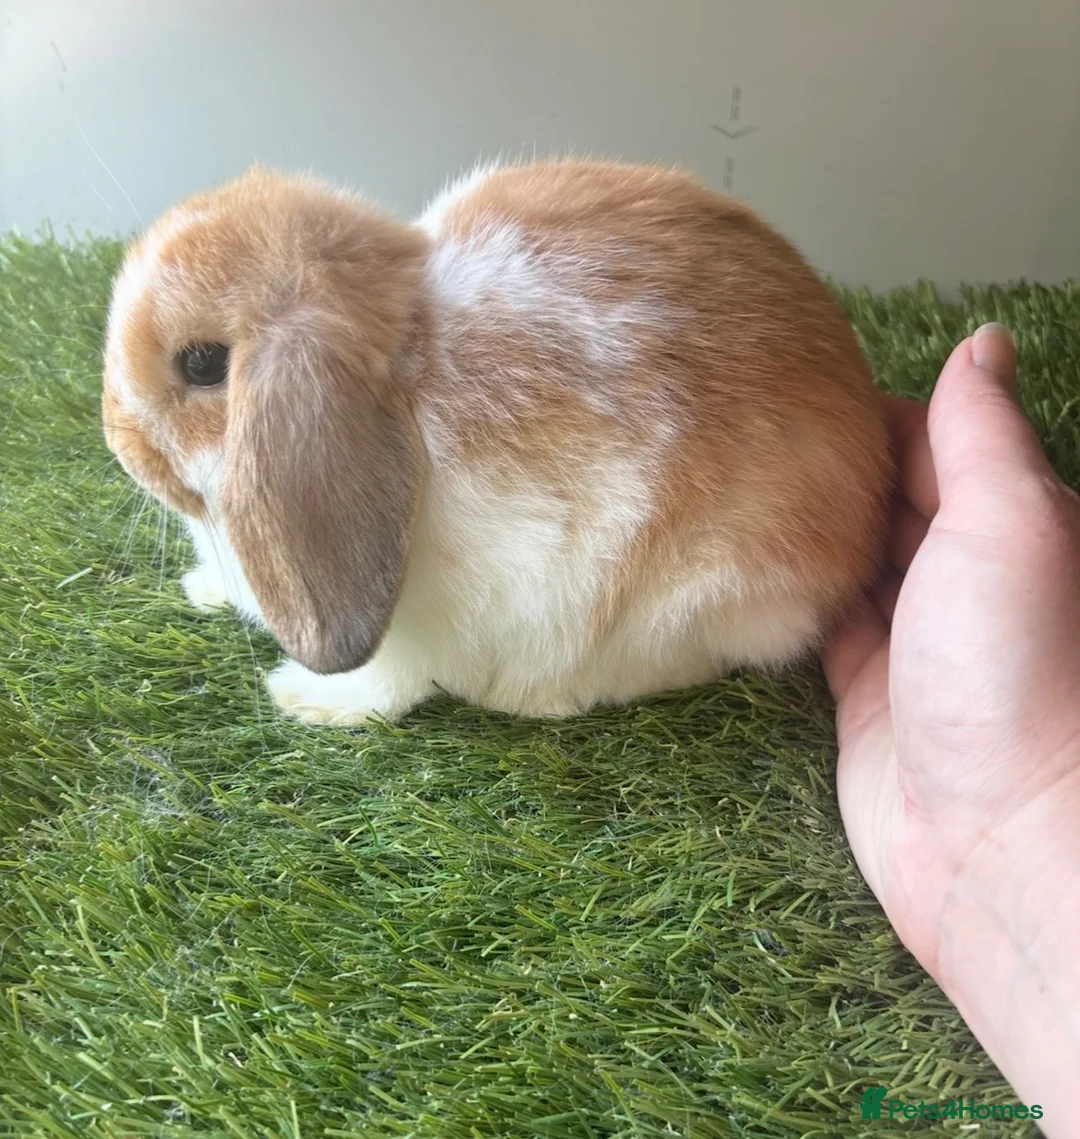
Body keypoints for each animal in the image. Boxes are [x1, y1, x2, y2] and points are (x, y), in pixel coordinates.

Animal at [101, 159, 892, 724]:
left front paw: (302, 698)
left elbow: (386, 686)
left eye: (203, 364)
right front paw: (202, 587)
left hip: (703, 593)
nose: (117, 438)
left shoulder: (431, 626)